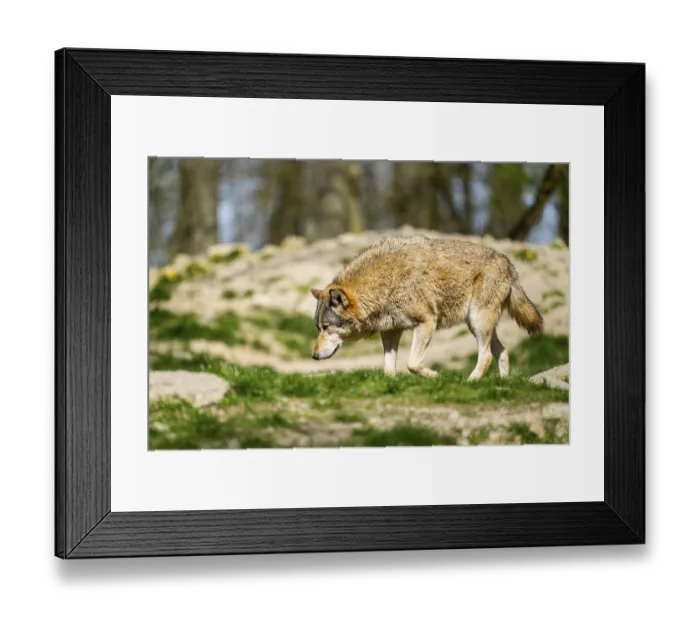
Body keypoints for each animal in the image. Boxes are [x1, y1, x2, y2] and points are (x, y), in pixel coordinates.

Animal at [310, 235, 543, 380]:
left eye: (326, 327)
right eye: (318, 328)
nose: (314, 356)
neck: (385, 283)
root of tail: (508, 264)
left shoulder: (426, 323)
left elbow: (412, 364)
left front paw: (438, 377)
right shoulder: (390, 332)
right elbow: (388, 370)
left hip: (478, 323)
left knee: (485, 356)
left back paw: (470, 382)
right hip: (476, 325)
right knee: (501, 351)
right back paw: (503, 383)